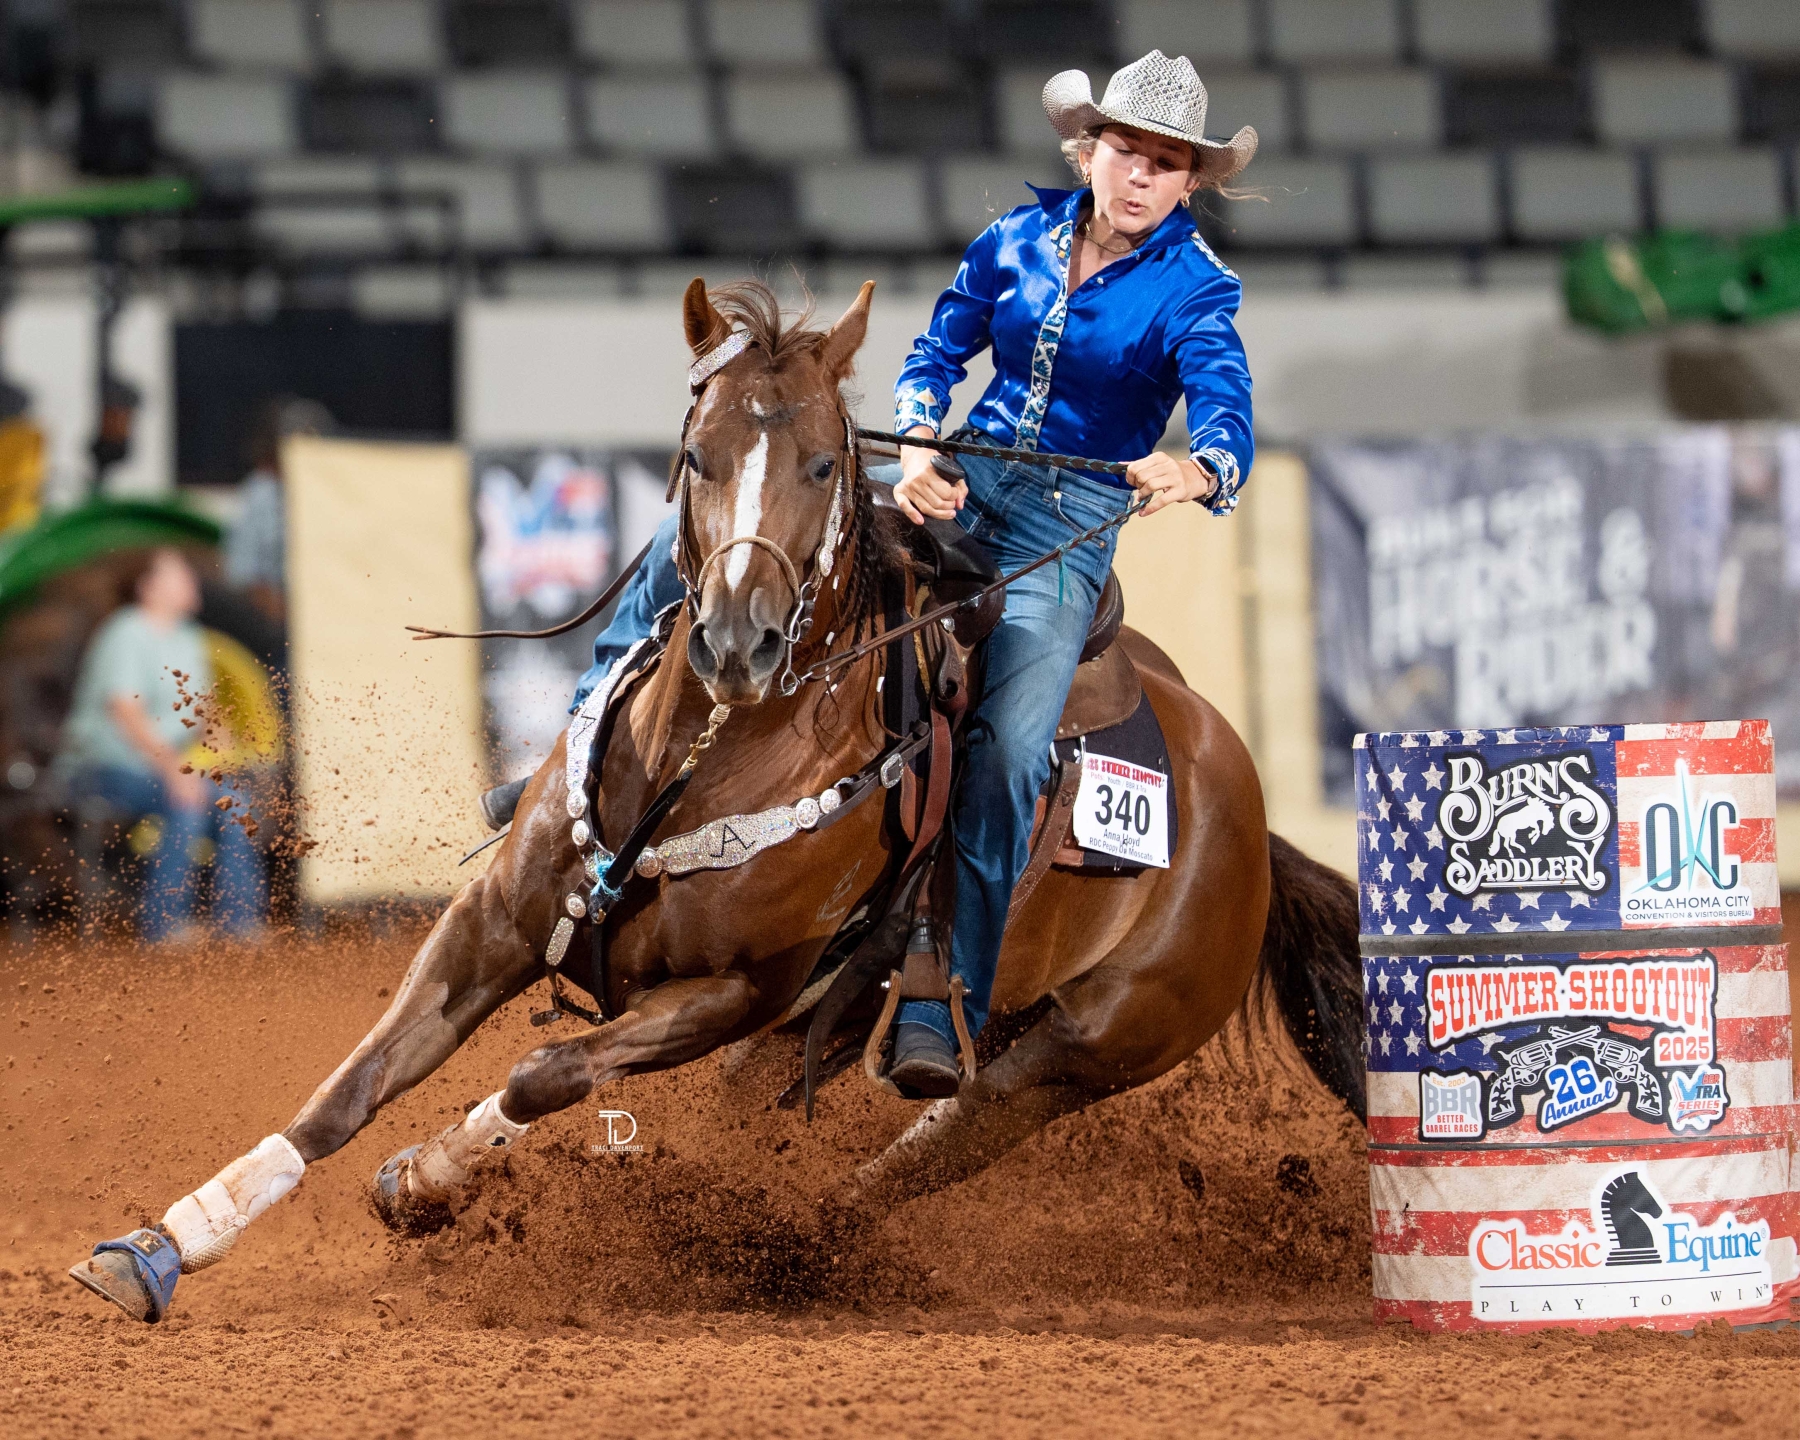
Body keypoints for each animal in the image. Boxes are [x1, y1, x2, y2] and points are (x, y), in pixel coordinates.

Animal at [69, 278, 1365, 1324]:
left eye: (826, 464)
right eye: (697, 455)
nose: (741, 642)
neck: (704, 757)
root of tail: (1250, 823)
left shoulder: (737, 992)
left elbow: (545, 1074)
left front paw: (431, 1179)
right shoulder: (495, 925)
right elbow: (348, 1092)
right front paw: (159, 1247)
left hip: (1081, 1051)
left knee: (917, 1155)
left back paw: (779, 1248)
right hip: (868, 1026)